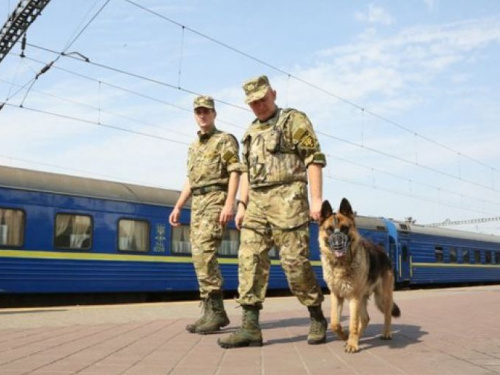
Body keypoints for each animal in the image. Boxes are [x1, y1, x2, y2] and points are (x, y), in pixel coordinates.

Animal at [318, 198, 400, 354]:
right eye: (330, 229)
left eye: (344, 228)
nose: (338, 244)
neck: (341, 265)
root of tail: (382, 251)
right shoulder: (336, 296)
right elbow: (334, 322)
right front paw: (345, 337)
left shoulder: (353, 297)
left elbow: (353, 323)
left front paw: (351, 343)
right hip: (362, 298)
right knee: (366, 318)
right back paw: (356, 338)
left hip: (382, 297)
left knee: (387, 315)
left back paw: (385, 333)